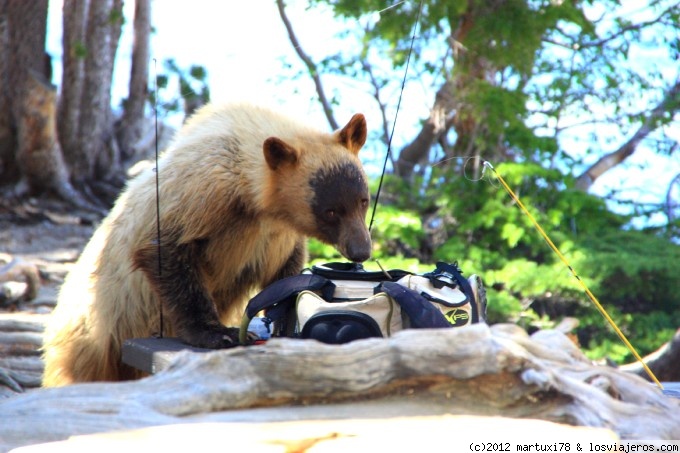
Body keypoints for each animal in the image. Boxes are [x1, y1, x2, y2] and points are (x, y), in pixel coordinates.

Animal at [41, 102, 372, 384]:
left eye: (362, 200)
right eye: (331, 211)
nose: (361, 251)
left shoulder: (276, 235)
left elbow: (285, 269)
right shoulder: (204, 190)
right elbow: (165, 250)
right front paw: (216, 333)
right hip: (93, 341)